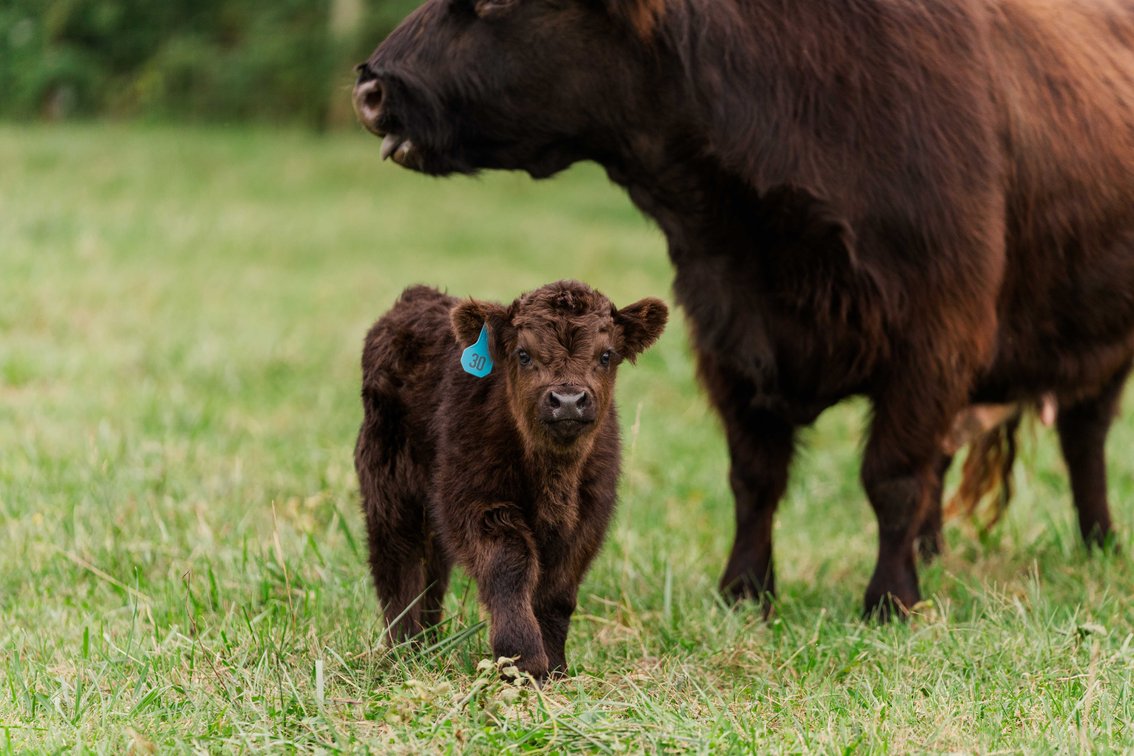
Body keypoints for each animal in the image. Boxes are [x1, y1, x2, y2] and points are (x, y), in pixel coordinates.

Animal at [352, 0, 1134, 618]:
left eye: (492, 2)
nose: (371, 88)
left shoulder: (935, 334)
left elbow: (891, 474)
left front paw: (890, 598)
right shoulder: (727, 331)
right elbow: (754, 476)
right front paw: (745, 590)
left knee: (1083, 437)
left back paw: (1098, 544)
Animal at [355, 281, 667, 680]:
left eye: (606, 355)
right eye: (523, 354)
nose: (568, 400)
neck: (554, 477)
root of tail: (418, 296)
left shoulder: (589, 518)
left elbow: (557, 592)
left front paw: (555, 667)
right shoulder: (475, 501)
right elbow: (510, 565)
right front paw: (521, 658)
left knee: (432, 568)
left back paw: (427, 641)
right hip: (389, 486)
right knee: (399, 562)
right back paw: (406, 650)